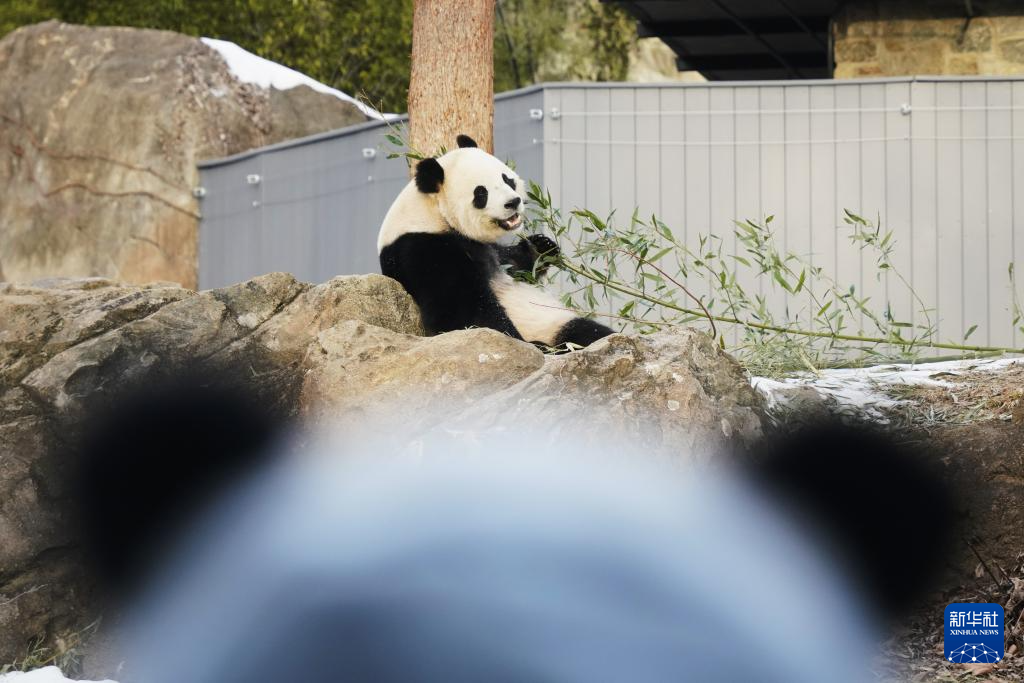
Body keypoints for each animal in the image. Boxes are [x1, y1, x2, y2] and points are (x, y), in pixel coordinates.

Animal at [378, 134, 610, 350]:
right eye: (481, 193)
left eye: (506, 179)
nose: (513, 202)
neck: (432, 214)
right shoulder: (424, 250)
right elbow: (463, 311)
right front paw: (527, 345)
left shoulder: (486, 249)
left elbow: (514, 263)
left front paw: (541, 247)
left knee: (587, 330)